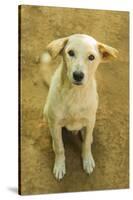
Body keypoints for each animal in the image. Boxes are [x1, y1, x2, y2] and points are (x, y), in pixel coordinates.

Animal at [40, 34, 118, 180]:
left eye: (91, 57)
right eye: (70, 53)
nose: (78, 75)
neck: (75, 94)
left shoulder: (90, 120)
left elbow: (86, 145)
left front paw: (87, 161)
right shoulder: (55, 123)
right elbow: (60, 148)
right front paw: (59, 166)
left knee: (87, 133)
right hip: (48, 114)